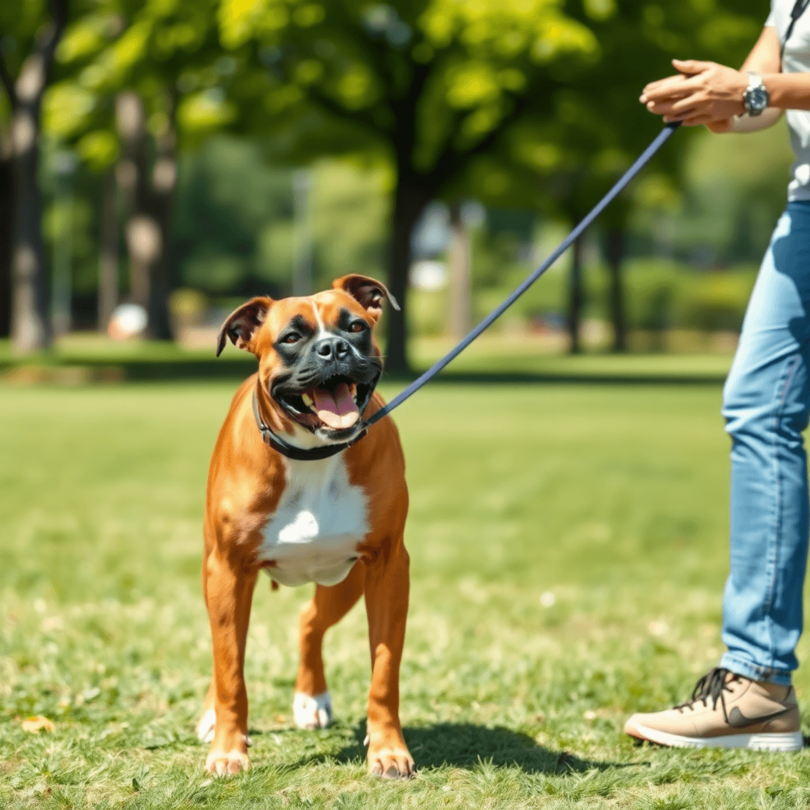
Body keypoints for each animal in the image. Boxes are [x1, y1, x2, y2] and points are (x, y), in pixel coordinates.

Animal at [193, 274, 414, 776]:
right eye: (291, 338)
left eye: (356, 326)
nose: (333, 348)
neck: (313, 454)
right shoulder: (227, 572)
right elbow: (230, 669)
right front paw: (228, 750)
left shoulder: (389, 567)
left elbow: (384, 671)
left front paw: (388, 749)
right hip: (220, 578)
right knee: (223, 648)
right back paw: (213, 715)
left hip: (346, 581)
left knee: (309, 620)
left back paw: (311, 699)